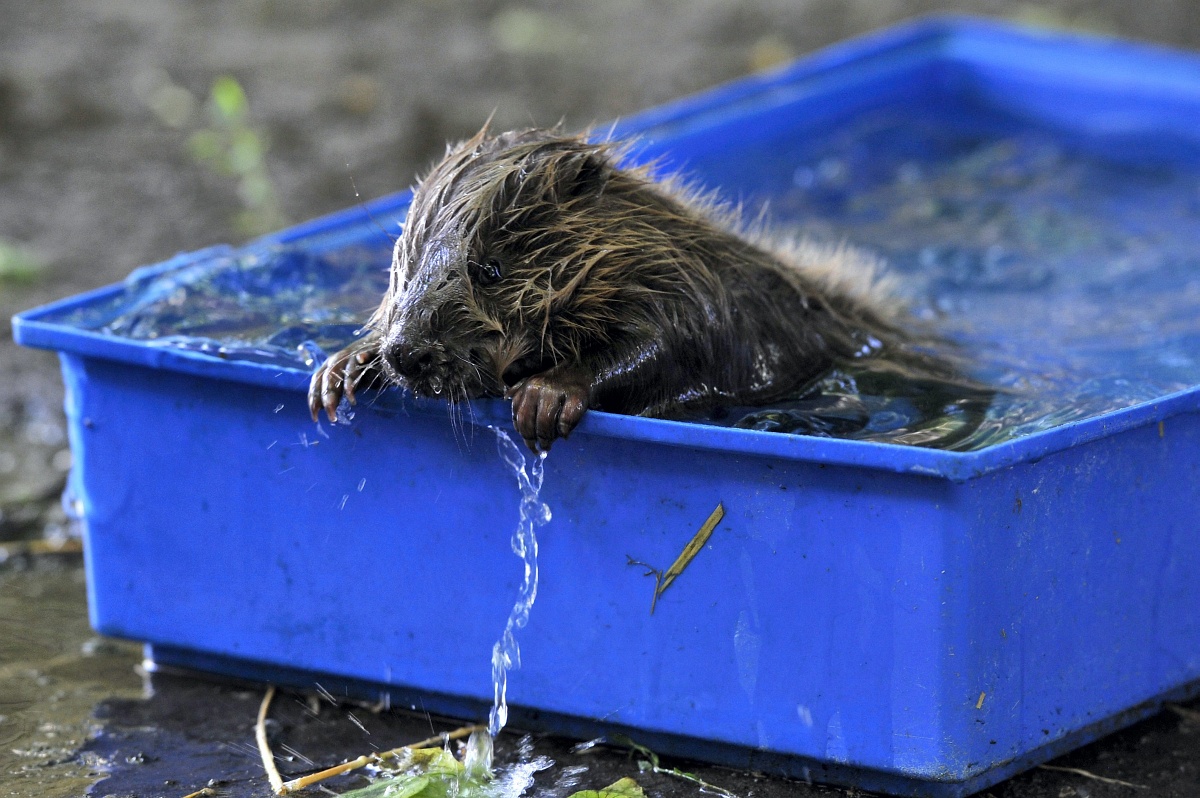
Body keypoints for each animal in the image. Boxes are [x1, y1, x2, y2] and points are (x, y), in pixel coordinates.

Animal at [309, 124, 964, 448]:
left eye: (490, 269)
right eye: (402, 269)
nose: (407, 353)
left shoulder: (695, 293)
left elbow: (672, 347)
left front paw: (546, 397)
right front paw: (342, 370)